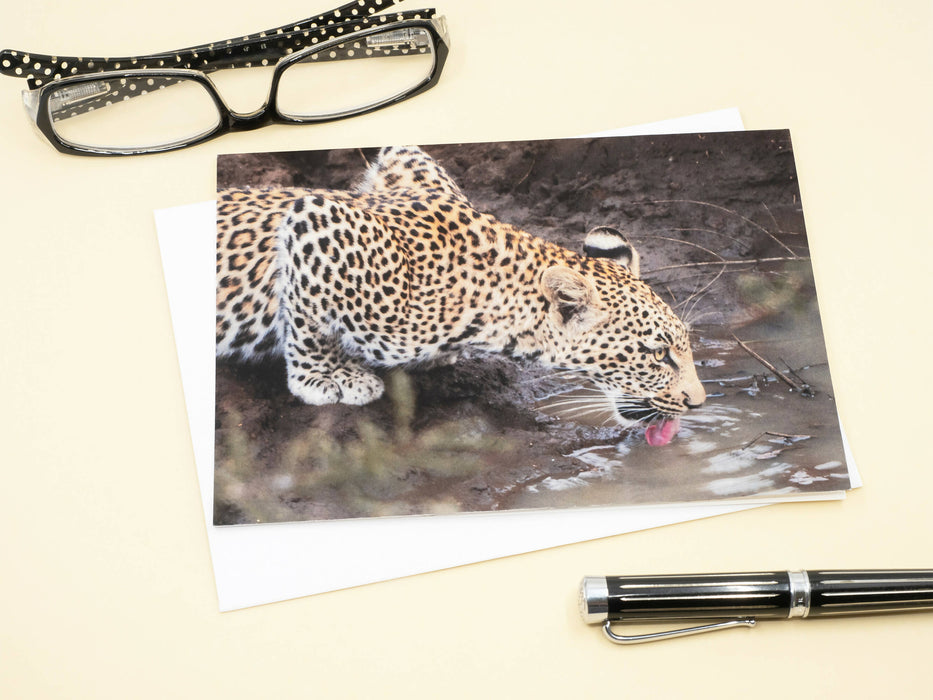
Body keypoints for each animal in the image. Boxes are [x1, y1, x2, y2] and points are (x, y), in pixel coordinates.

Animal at [215, 146, 706, 446]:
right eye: (658, 354)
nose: (699, 403)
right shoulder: (317, 219)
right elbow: (308, 315)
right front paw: (326, 376)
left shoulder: (403, 162)